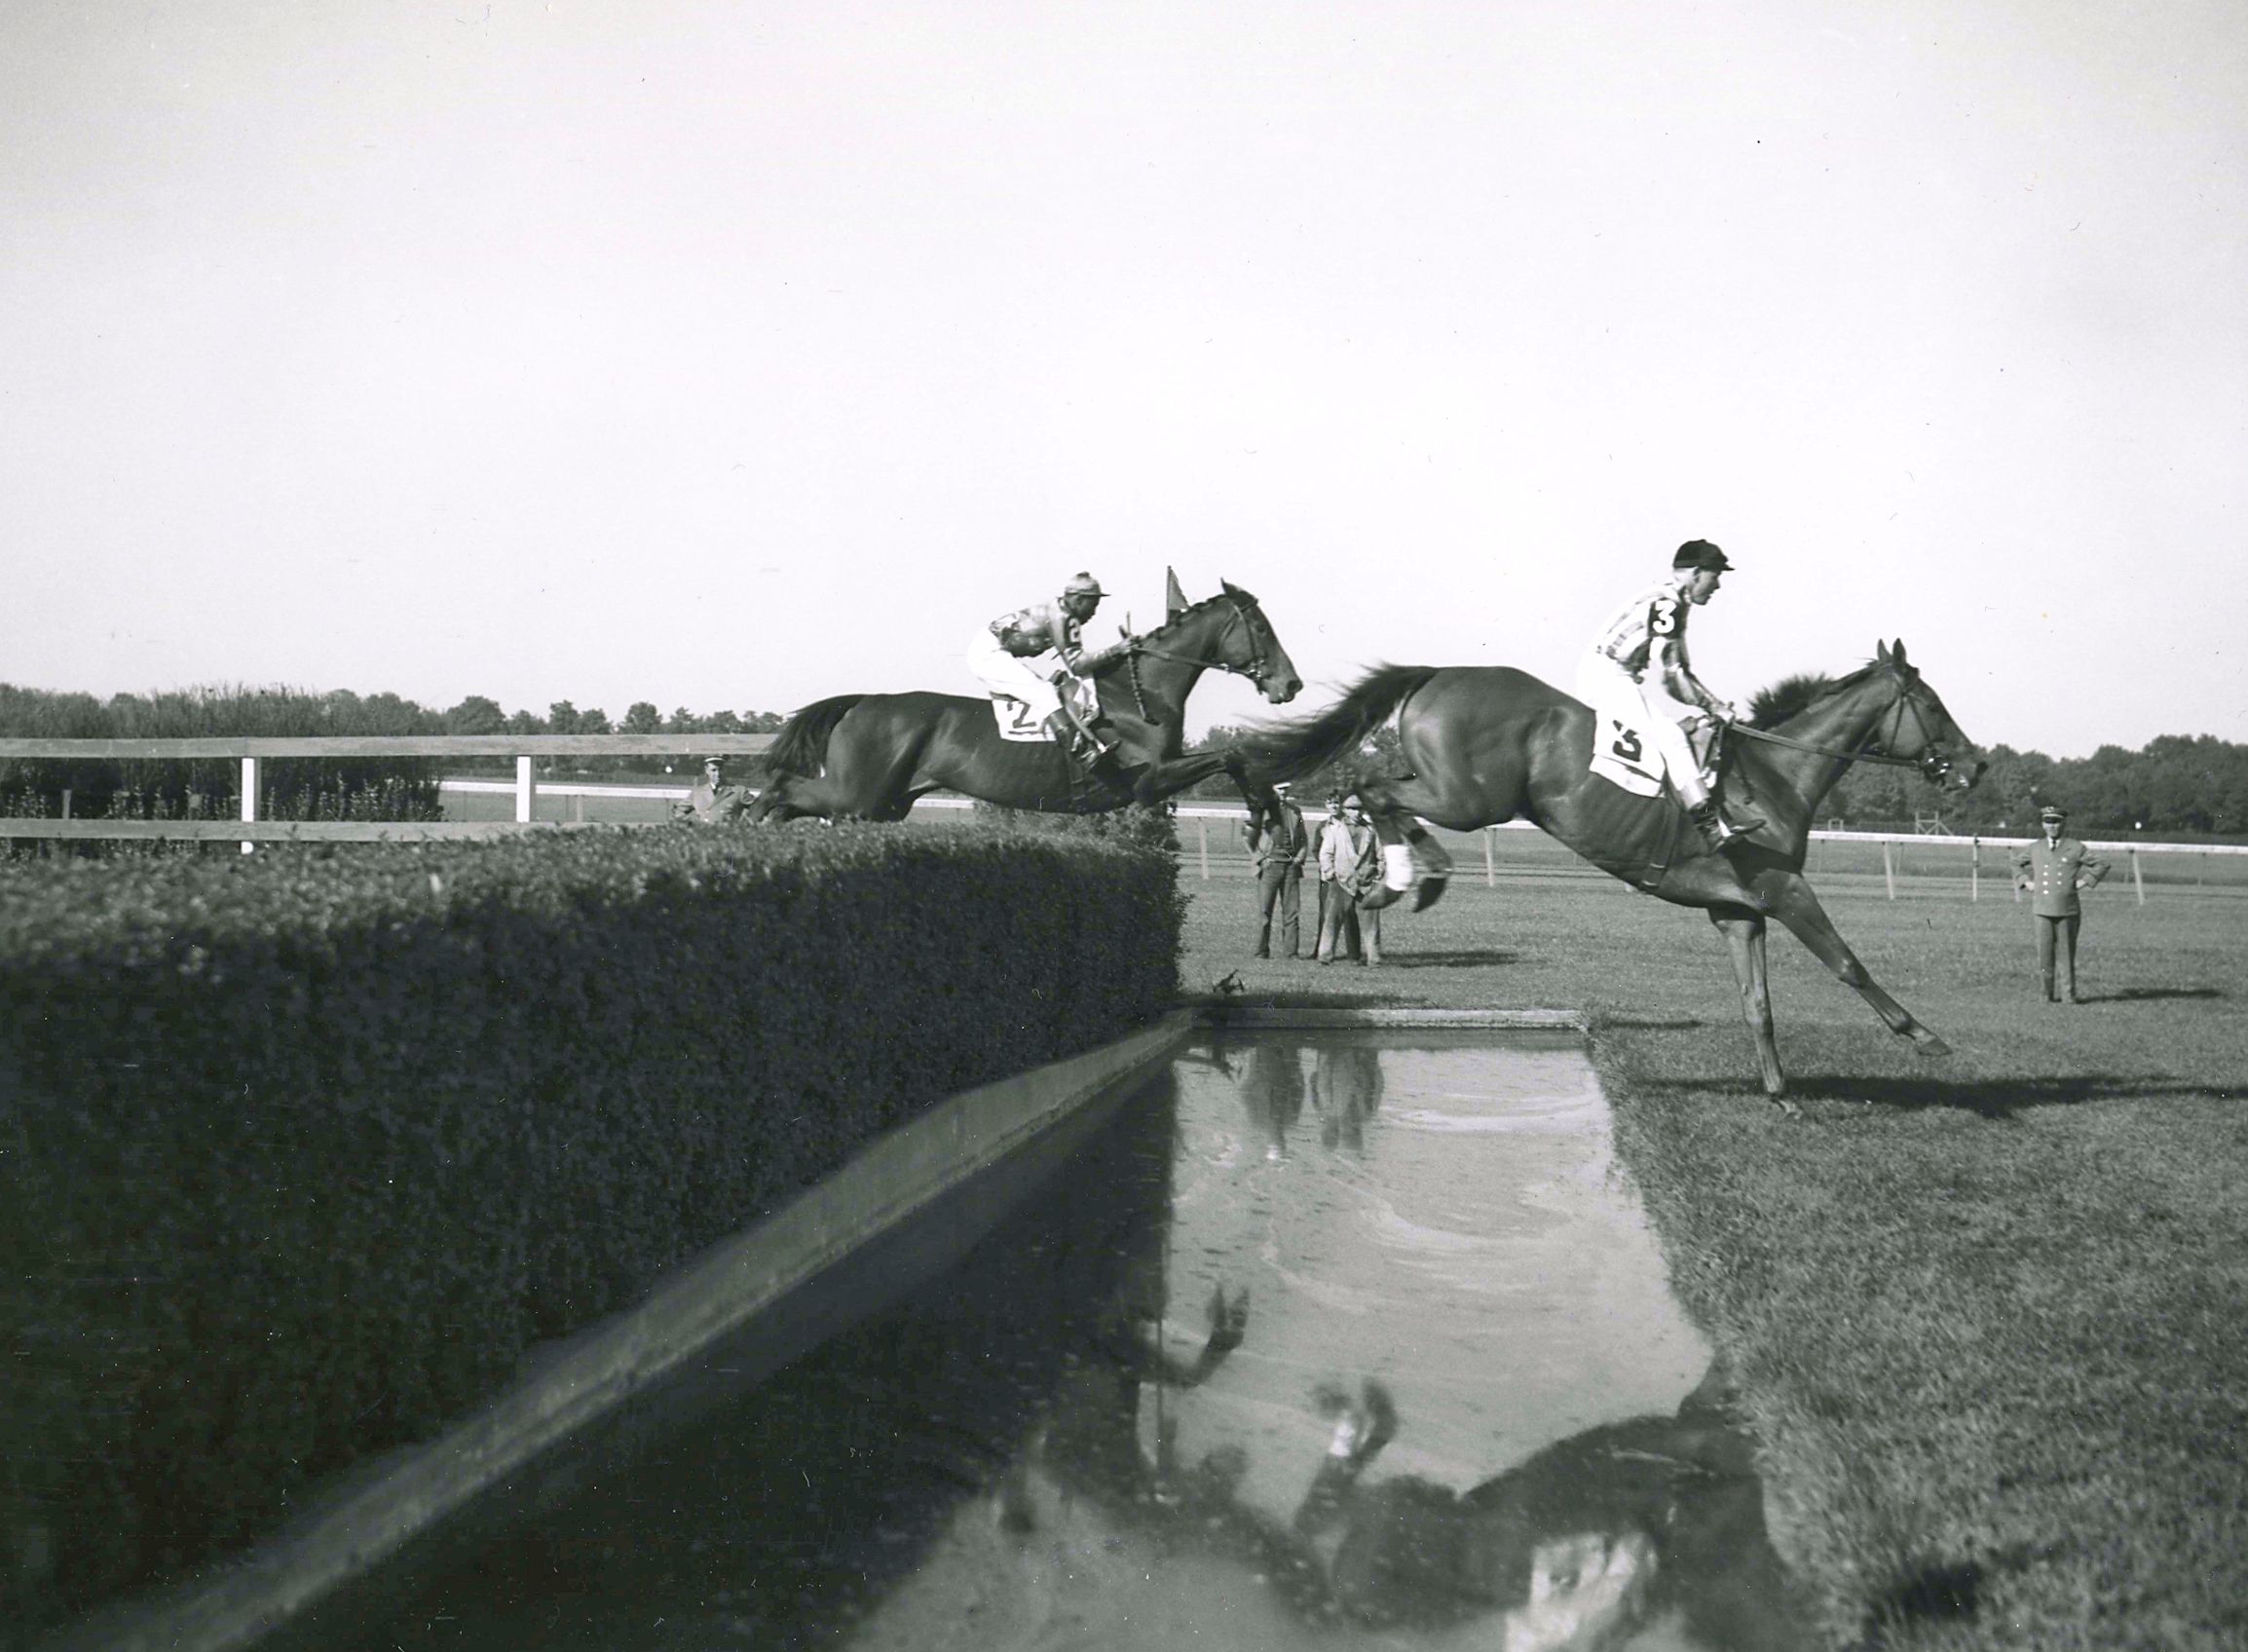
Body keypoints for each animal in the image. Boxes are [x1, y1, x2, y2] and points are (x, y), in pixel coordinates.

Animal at [750, 580, 1303, 827]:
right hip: (857, 796)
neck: (1139, 694)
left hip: (885, 804)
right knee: (782, 791)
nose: (1291, 684)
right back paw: (743, 817)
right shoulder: (1148, 780)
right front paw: (1263, 807)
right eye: (1260, 628)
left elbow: (1232, 756)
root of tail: (864, 701)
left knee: (789, 798)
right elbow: (1230, 754)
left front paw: (1263, 807)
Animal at [1231, 647, 1987, 1109]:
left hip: (1465, 793)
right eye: (1933, 704)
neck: (1775, 775)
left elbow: (1759, 1004)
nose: (1975, 765)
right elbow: (1849, 964)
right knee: (1372, 789)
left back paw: (1403, 875)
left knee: (1373, 789)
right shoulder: (1783, 890)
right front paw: (1926, 1037)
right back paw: (1417, 874)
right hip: (1473, 798)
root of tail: (1441, 671)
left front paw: (1780, 1094)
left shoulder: (1738, 911)